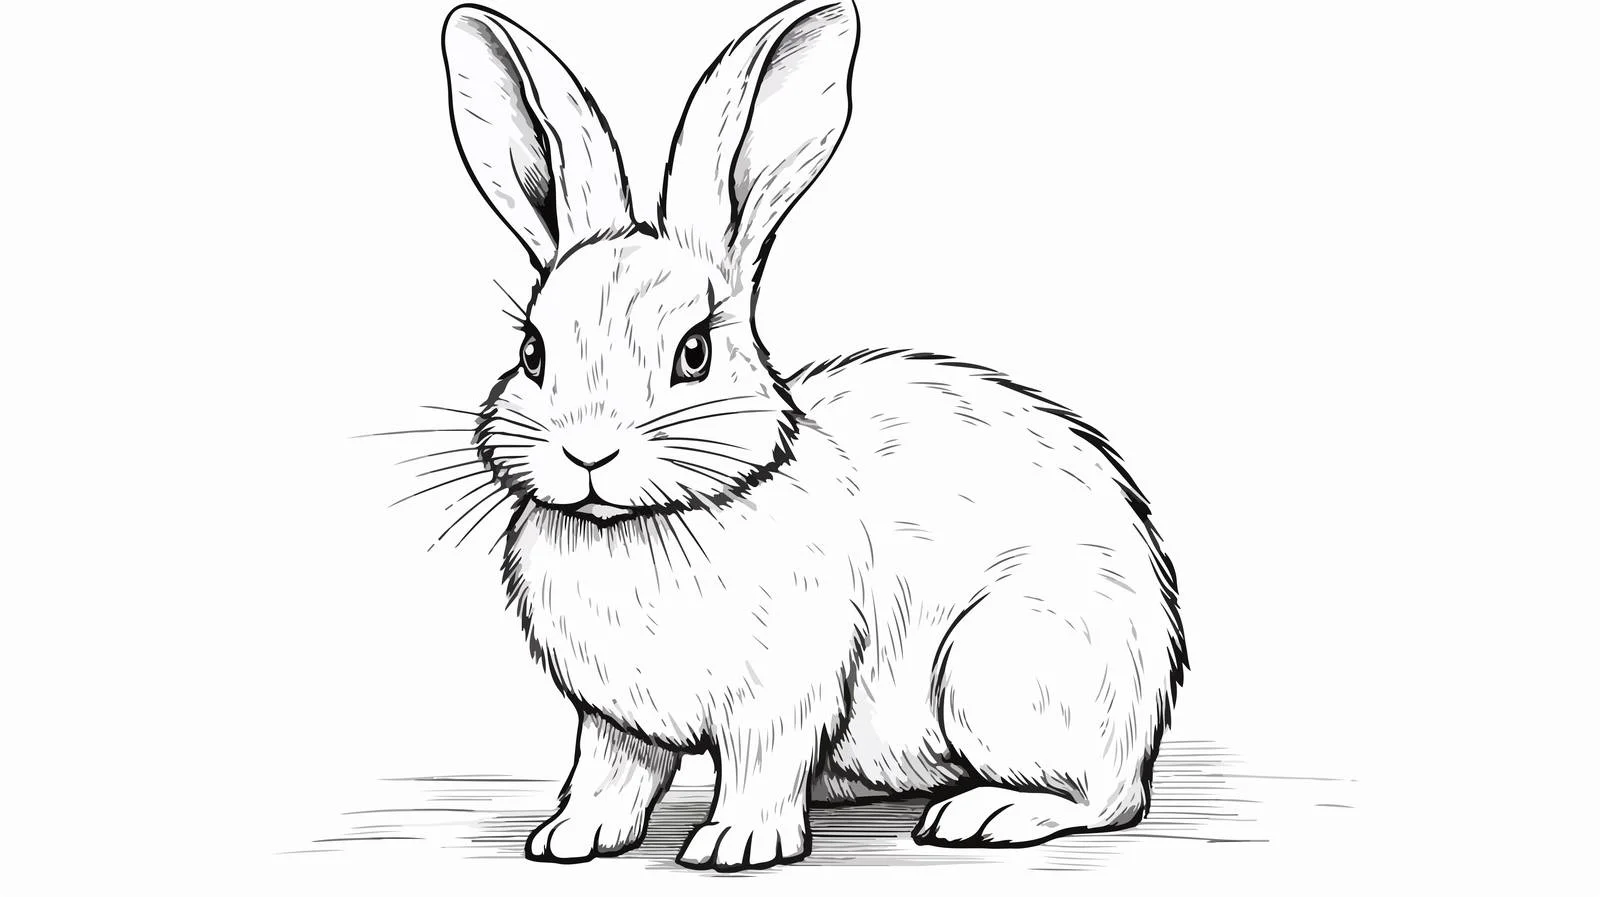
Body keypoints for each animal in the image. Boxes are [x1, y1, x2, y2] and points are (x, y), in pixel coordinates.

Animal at [439, 0, 1186, 872]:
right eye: (532, 352)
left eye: (694, 353)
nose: (588, 452)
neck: (643, 525)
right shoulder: (614, 719)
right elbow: (610, 773)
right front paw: (571, 837)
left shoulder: (782, 695)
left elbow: (760, 767)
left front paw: (735, 844)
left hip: (1003, 674)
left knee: (1104, 799)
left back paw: (985, 812)